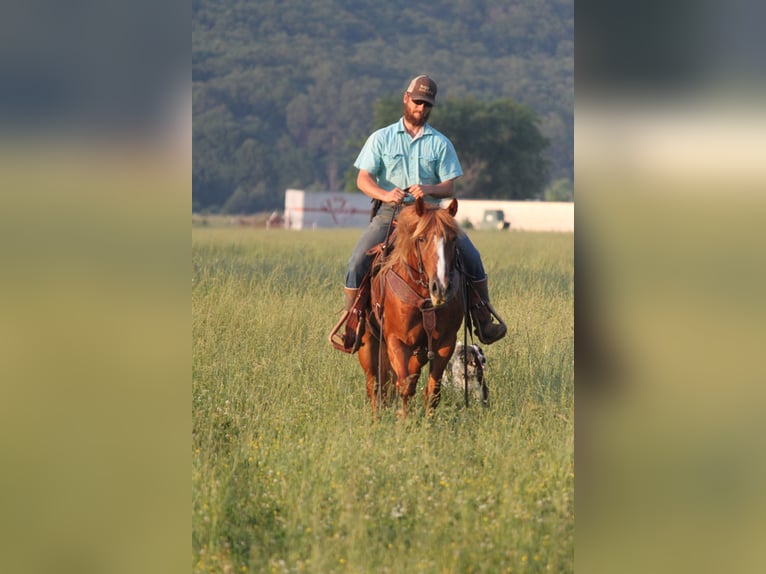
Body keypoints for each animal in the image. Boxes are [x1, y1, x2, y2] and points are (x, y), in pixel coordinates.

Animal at [358, 198, 462, 418]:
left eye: (453, 239)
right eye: (421, 239)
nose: (441, 288)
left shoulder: (445, 343)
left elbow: (432, 391)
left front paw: (428, 422)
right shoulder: (396, 341)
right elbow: (404, 385)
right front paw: (403, 421)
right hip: (368, 343)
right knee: (375, 385)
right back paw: (377, 418)